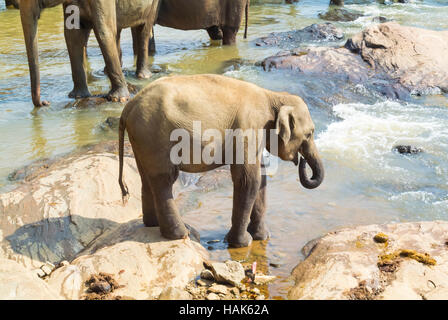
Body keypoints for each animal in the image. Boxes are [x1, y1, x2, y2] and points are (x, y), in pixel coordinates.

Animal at [21, 0, 162, 108]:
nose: (45, 102)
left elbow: (104, 31)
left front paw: (118, 99)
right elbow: (72, 35)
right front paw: (77, 96)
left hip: (153, 5)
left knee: (144, 29)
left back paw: (143, 76)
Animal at [117, 74, 324, 248]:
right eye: (310, 134)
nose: (302, 161)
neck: (273, 96)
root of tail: (129, 106)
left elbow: (261, 179)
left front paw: (262, 237)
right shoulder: (247, 128)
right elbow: (249, 180)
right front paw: (242, 243)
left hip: (141, 139)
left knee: (146, 178)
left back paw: (152, 225)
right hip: (155, 137)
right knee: (165, 179)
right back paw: (181, 234)